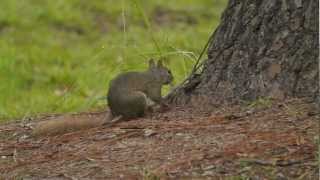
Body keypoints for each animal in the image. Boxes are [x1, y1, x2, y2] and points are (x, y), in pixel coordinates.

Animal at [31, 59, 172, 136]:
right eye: (168, 71)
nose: (173, 78)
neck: (153, 74)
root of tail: (115, 112)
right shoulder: (153, 86)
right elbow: (155, 96)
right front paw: (165, 103)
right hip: (138, 98)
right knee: (134, 116)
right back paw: (146, 113)